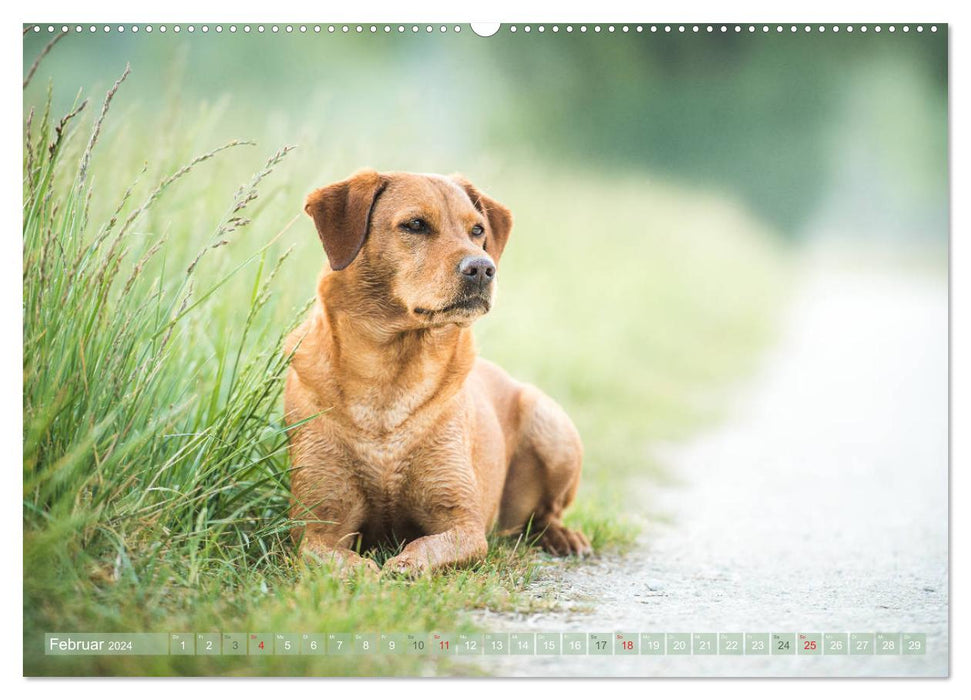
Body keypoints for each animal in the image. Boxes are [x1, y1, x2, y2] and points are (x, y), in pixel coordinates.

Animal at [284, 168, 588, 576]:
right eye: (415, 224)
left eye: (477, 230)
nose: (482, 268)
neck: (389, 378)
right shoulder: (317, 527)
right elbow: (341, 561)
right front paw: (367, 574)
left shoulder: (463, 523)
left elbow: (424, 548)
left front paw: (400, 567)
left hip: (551, 424)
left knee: (547, 513)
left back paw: (563, 537)